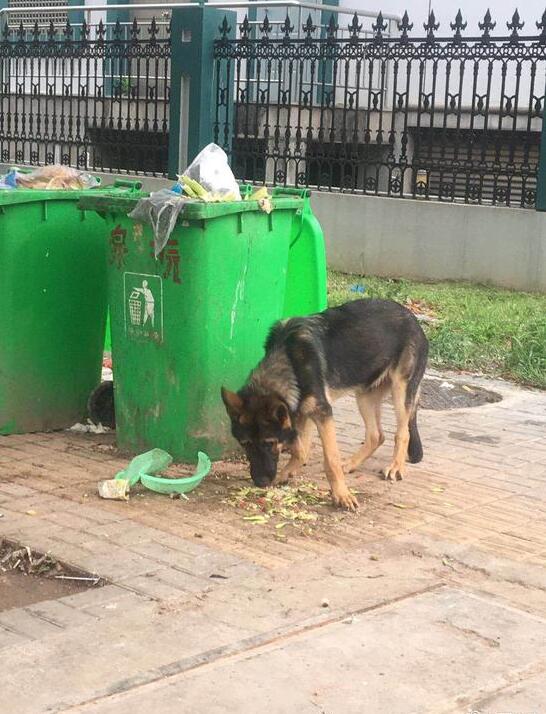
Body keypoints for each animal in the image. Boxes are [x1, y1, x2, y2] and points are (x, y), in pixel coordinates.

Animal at [219, 298, 428, 508]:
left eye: (269, 443)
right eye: (245, 444)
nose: (260, 482)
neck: (289, 360)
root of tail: (413, 318)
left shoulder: (322, 413)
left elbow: (330, 459)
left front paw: (342, 494)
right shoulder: (302, 411)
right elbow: (301, 449)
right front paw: (286, 472)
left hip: (401, 391)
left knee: (402, 433)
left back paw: (396, 466)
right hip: (364, 397)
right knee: (376, 435)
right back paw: (351, 464)